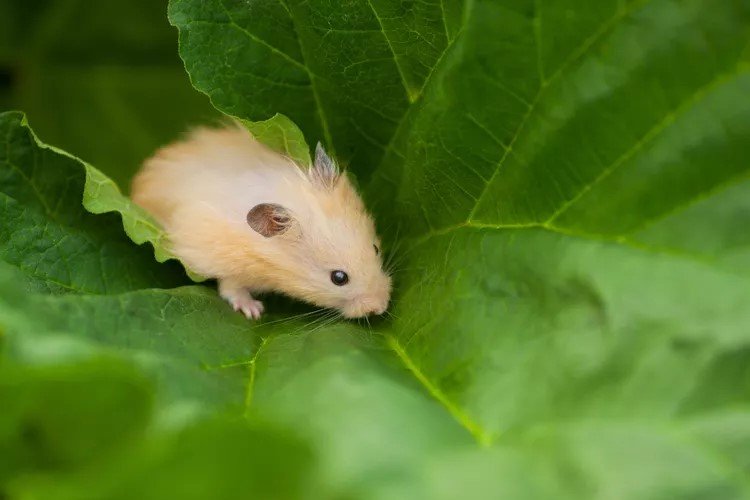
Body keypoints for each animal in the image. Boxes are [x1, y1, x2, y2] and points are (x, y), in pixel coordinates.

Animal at [131, 123, 391, 319]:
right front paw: (254, 311)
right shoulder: (225, 263)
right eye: (339, 278)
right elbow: (230, 288)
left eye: (376, 249)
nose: (381, 307)